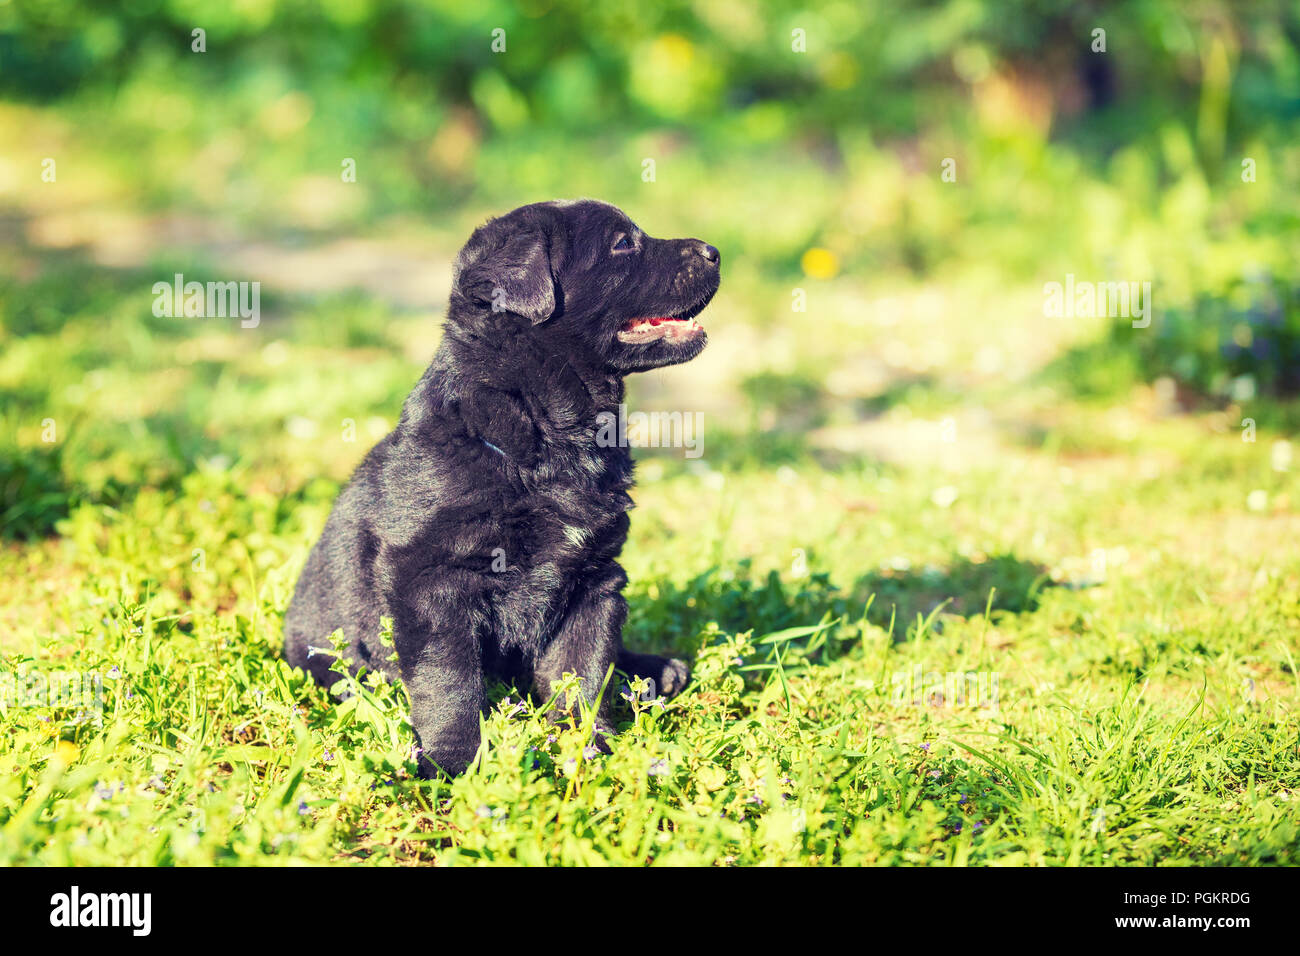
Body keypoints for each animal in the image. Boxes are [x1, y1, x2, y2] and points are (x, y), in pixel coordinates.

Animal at [283, 197, 722, 775]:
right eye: (623, 243)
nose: (715, 251)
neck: (548, 432)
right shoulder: (431, 580)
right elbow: (449, 681)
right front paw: (453, 762)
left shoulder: (595, 578)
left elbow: (583, 670)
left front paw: (590, 747)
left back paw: (656, 671)